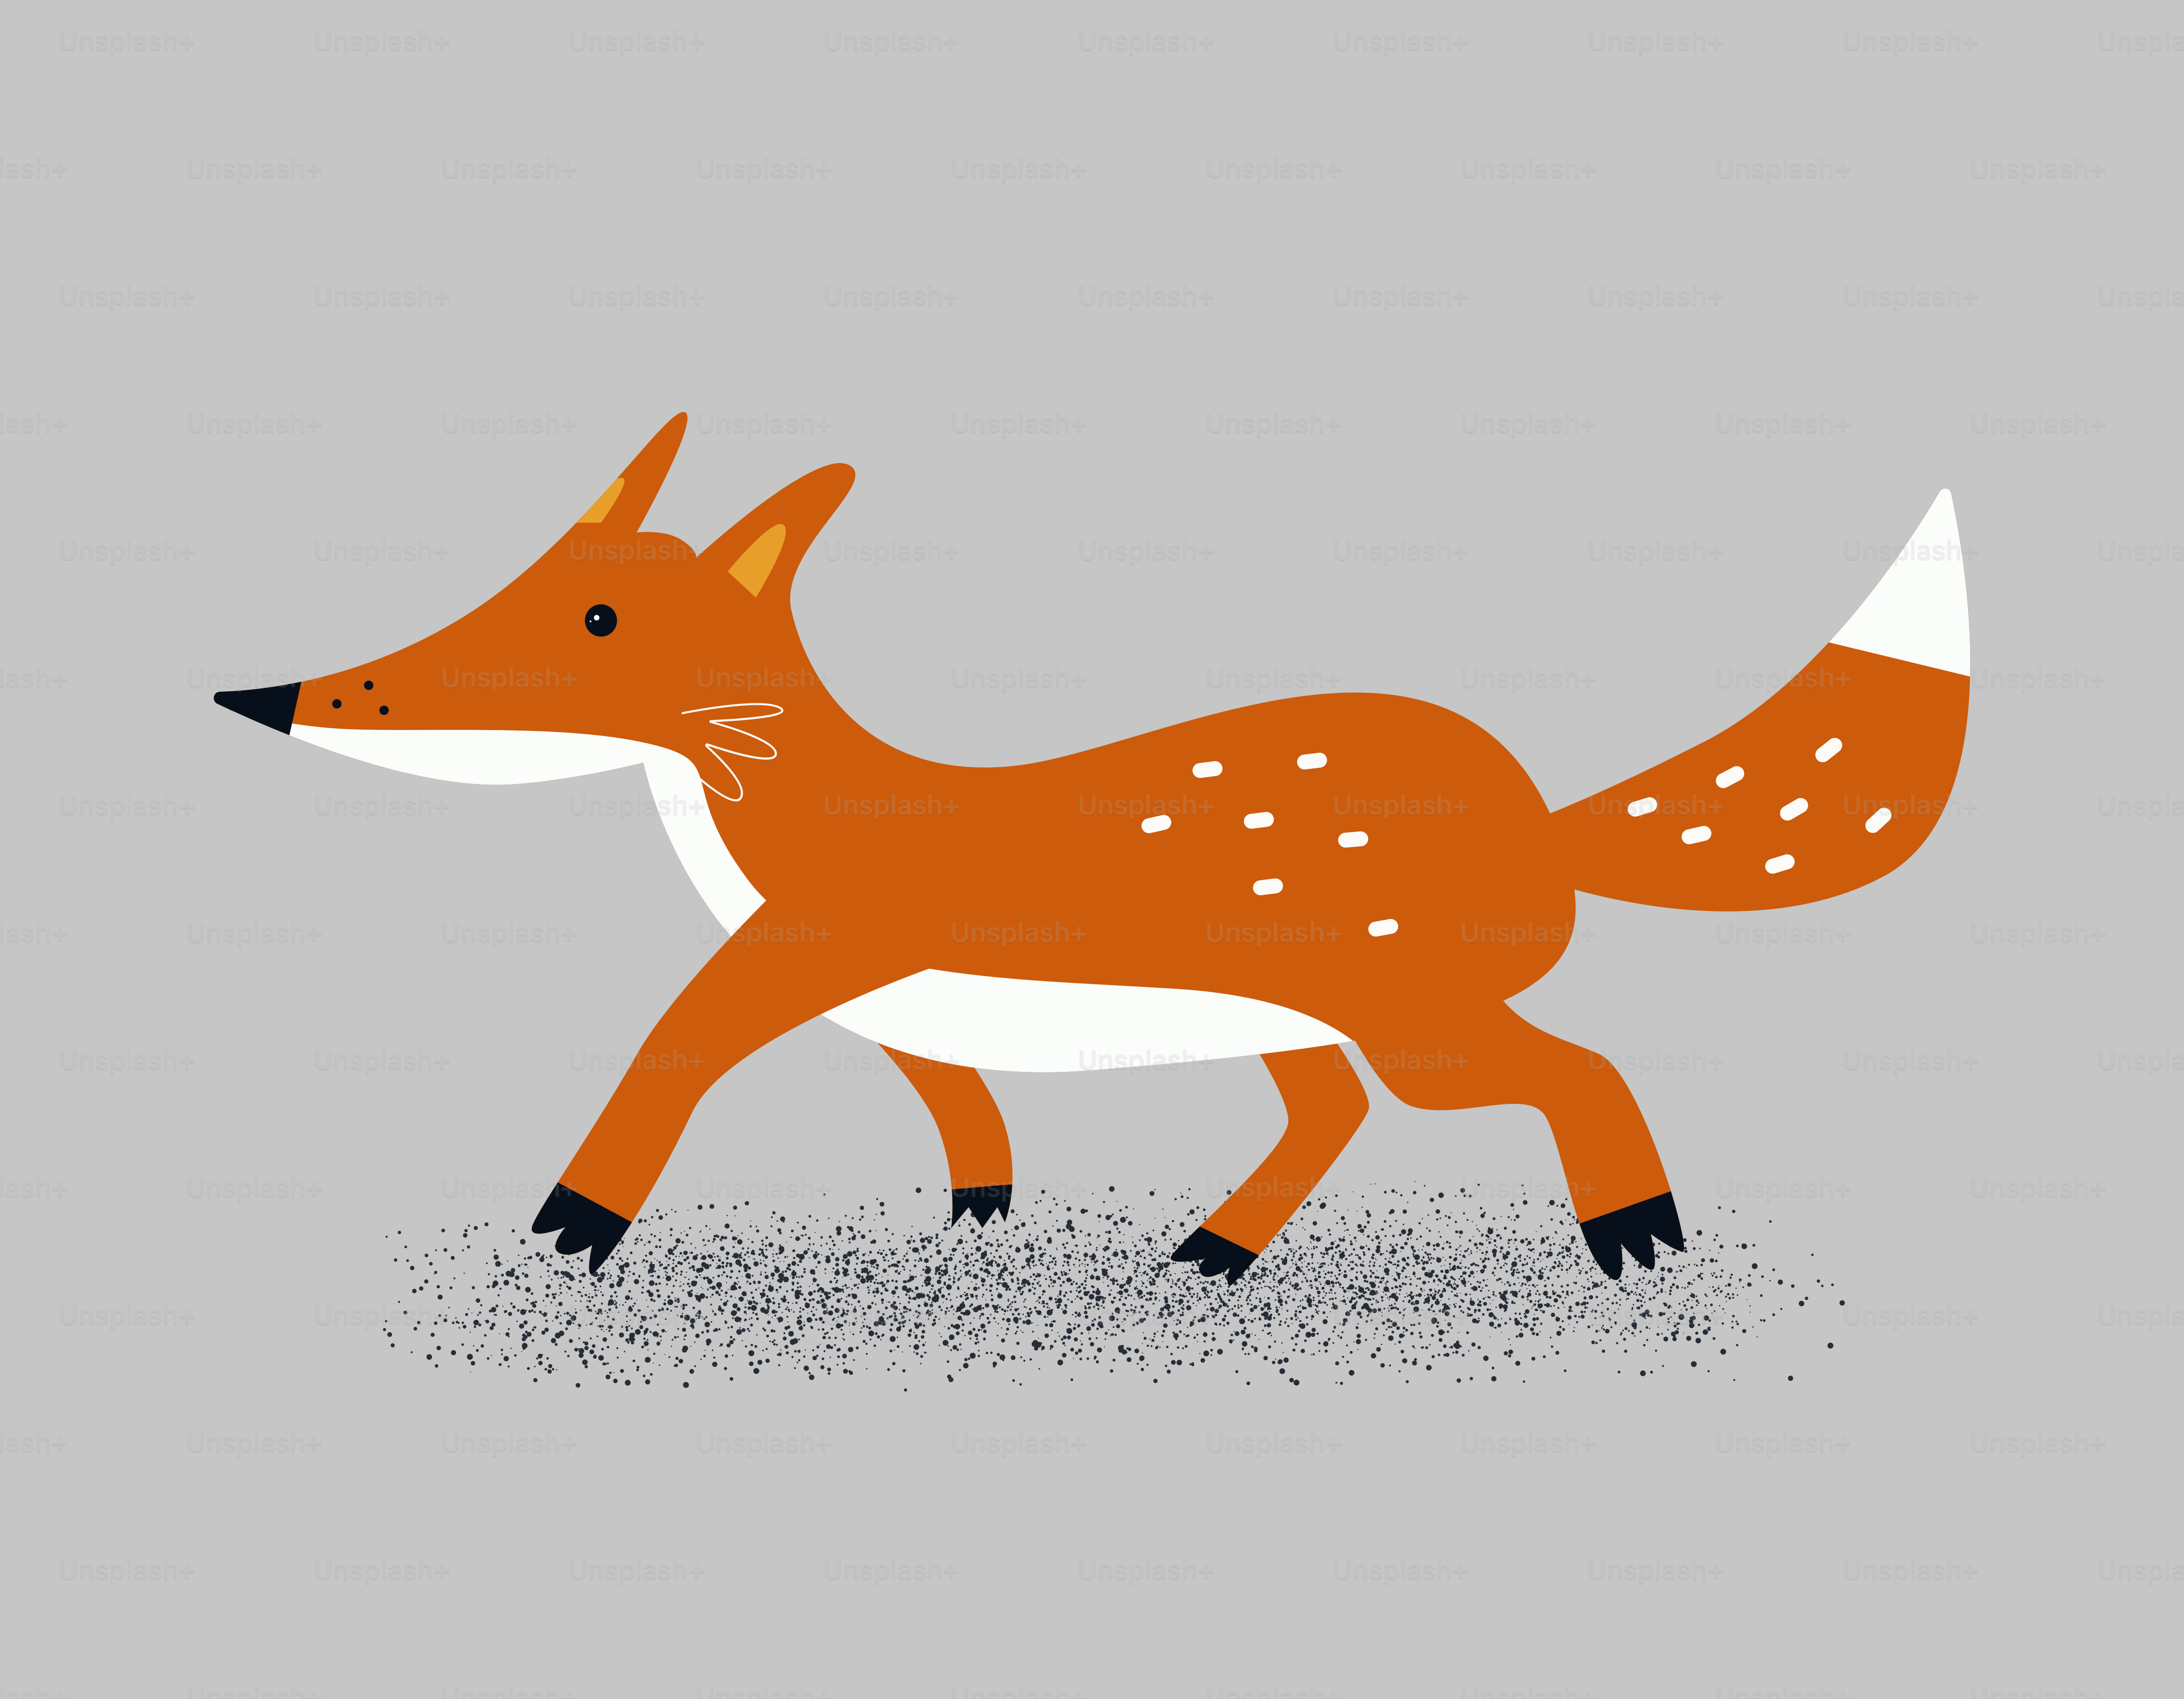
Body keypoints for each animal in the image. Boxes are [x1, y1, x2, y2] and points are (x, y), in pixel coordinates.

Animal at [215, 415, 1969, 1283]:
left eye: (595, 622)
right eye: (520, 578)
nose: (279, 697)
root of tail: (1542, 812)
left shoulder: (819, 950)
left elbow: (674, 1048)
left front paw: (578, 1224)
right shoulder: (899, 1003)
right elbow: (959, 1111)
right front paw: (981, 1220)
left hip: (1416, 1019)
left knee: (1575, 1069)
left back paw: (1635, 1234)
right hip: (1302, 1021)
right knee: (1330, 1115)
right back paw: (1212, 1254)